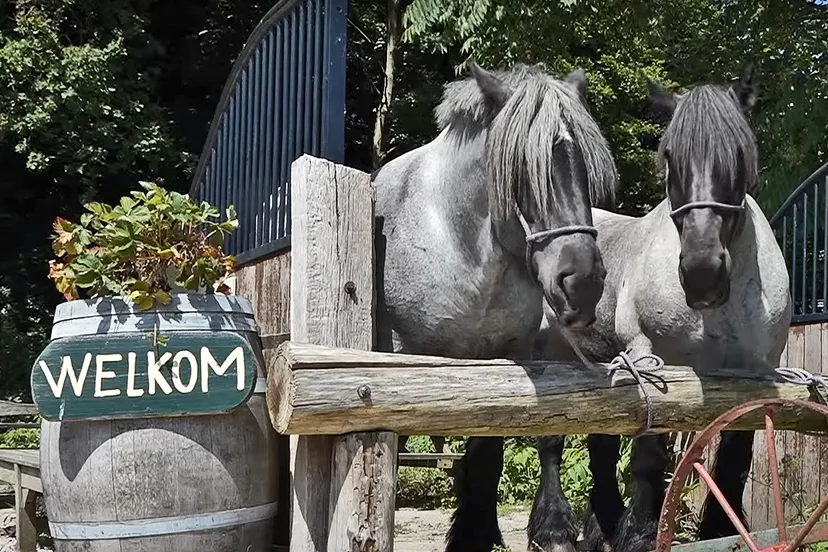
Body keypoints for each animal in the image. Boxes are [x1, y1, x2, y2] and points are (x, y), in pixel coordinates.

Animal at [371, 61, 619, 552]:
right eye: (523, 170)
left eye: (584, 168)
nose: (583, 282)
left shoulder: (504, 364)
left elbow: (487, 457)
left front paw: (476, 534)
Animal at [528, 65, 792, 552]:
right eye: (670, 156)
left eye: (741, 153)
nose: (702, 272)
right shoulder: (651, 359)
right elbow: (649, 459)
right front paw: (638, 535)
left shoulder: (755, 374)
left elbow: (734, 460)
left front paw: (721, 532)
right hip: (553, 353)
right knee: (552, 442)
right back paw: (556, 531)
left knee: (600, 445)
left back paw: (601, 527)